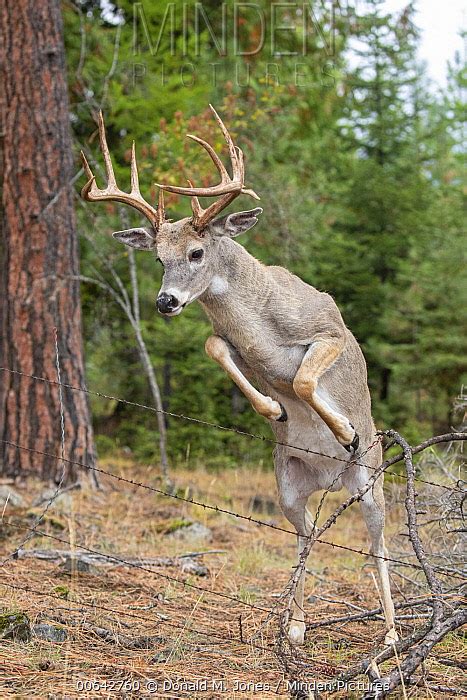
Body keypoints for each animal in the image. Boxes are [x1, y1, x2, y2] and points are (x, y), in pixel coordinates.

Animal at [81, 105, 398, 644]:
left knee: (378, 544)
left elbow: (304, 379)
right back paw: (295, 625)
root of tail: (331, 480)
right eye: (158, 258)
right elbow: (217, 348)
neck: (261, 319)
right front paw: (274, 409)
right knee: (307, 533)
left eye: (196, 253)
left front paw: (343, 430)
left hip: (371, 480)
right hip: (287, 484)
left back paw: (392, 633)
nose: (165, 301)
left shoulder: (329, 329)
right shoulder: (232, 345)